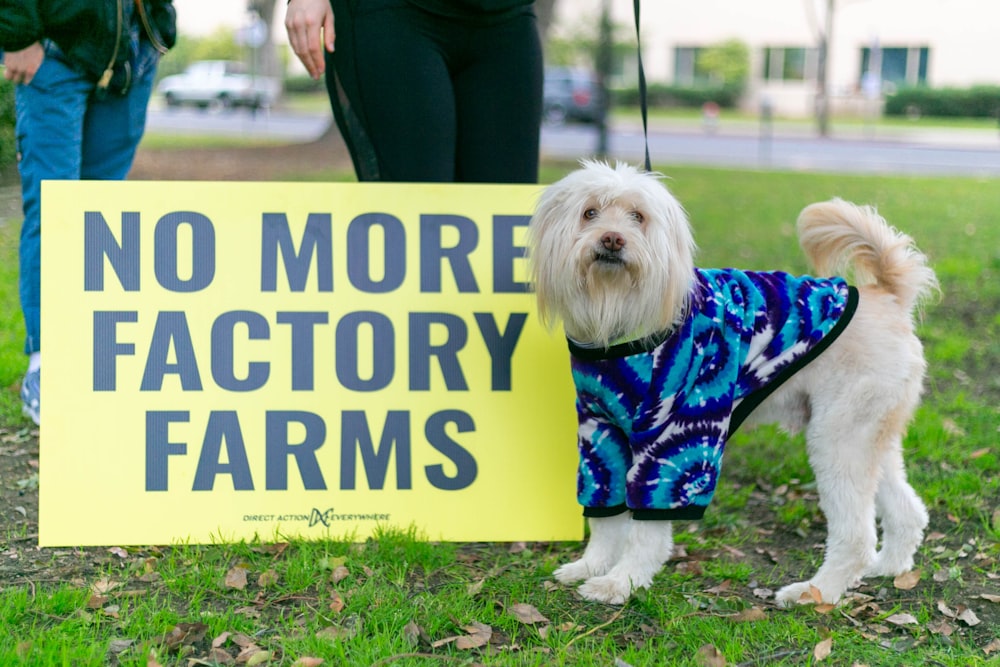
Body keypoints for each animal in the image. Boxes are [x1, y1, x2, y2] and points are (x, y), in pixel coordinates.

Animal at [532, 160, 936, 604]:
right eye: (589, 213)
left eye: (638, 217)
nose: (612, 239)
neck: (622, 312)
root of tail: (888, 295)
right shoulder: (599, 437)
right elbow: (605, 519)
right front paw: (592, 566)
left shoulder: (673, 442)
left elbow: (646, 530)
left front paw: (623, 581)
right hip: (870, 438)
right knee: (908, 510)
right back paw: (888, 567)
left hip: (838, 439)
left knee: (856, 536)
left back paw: (816, 592)